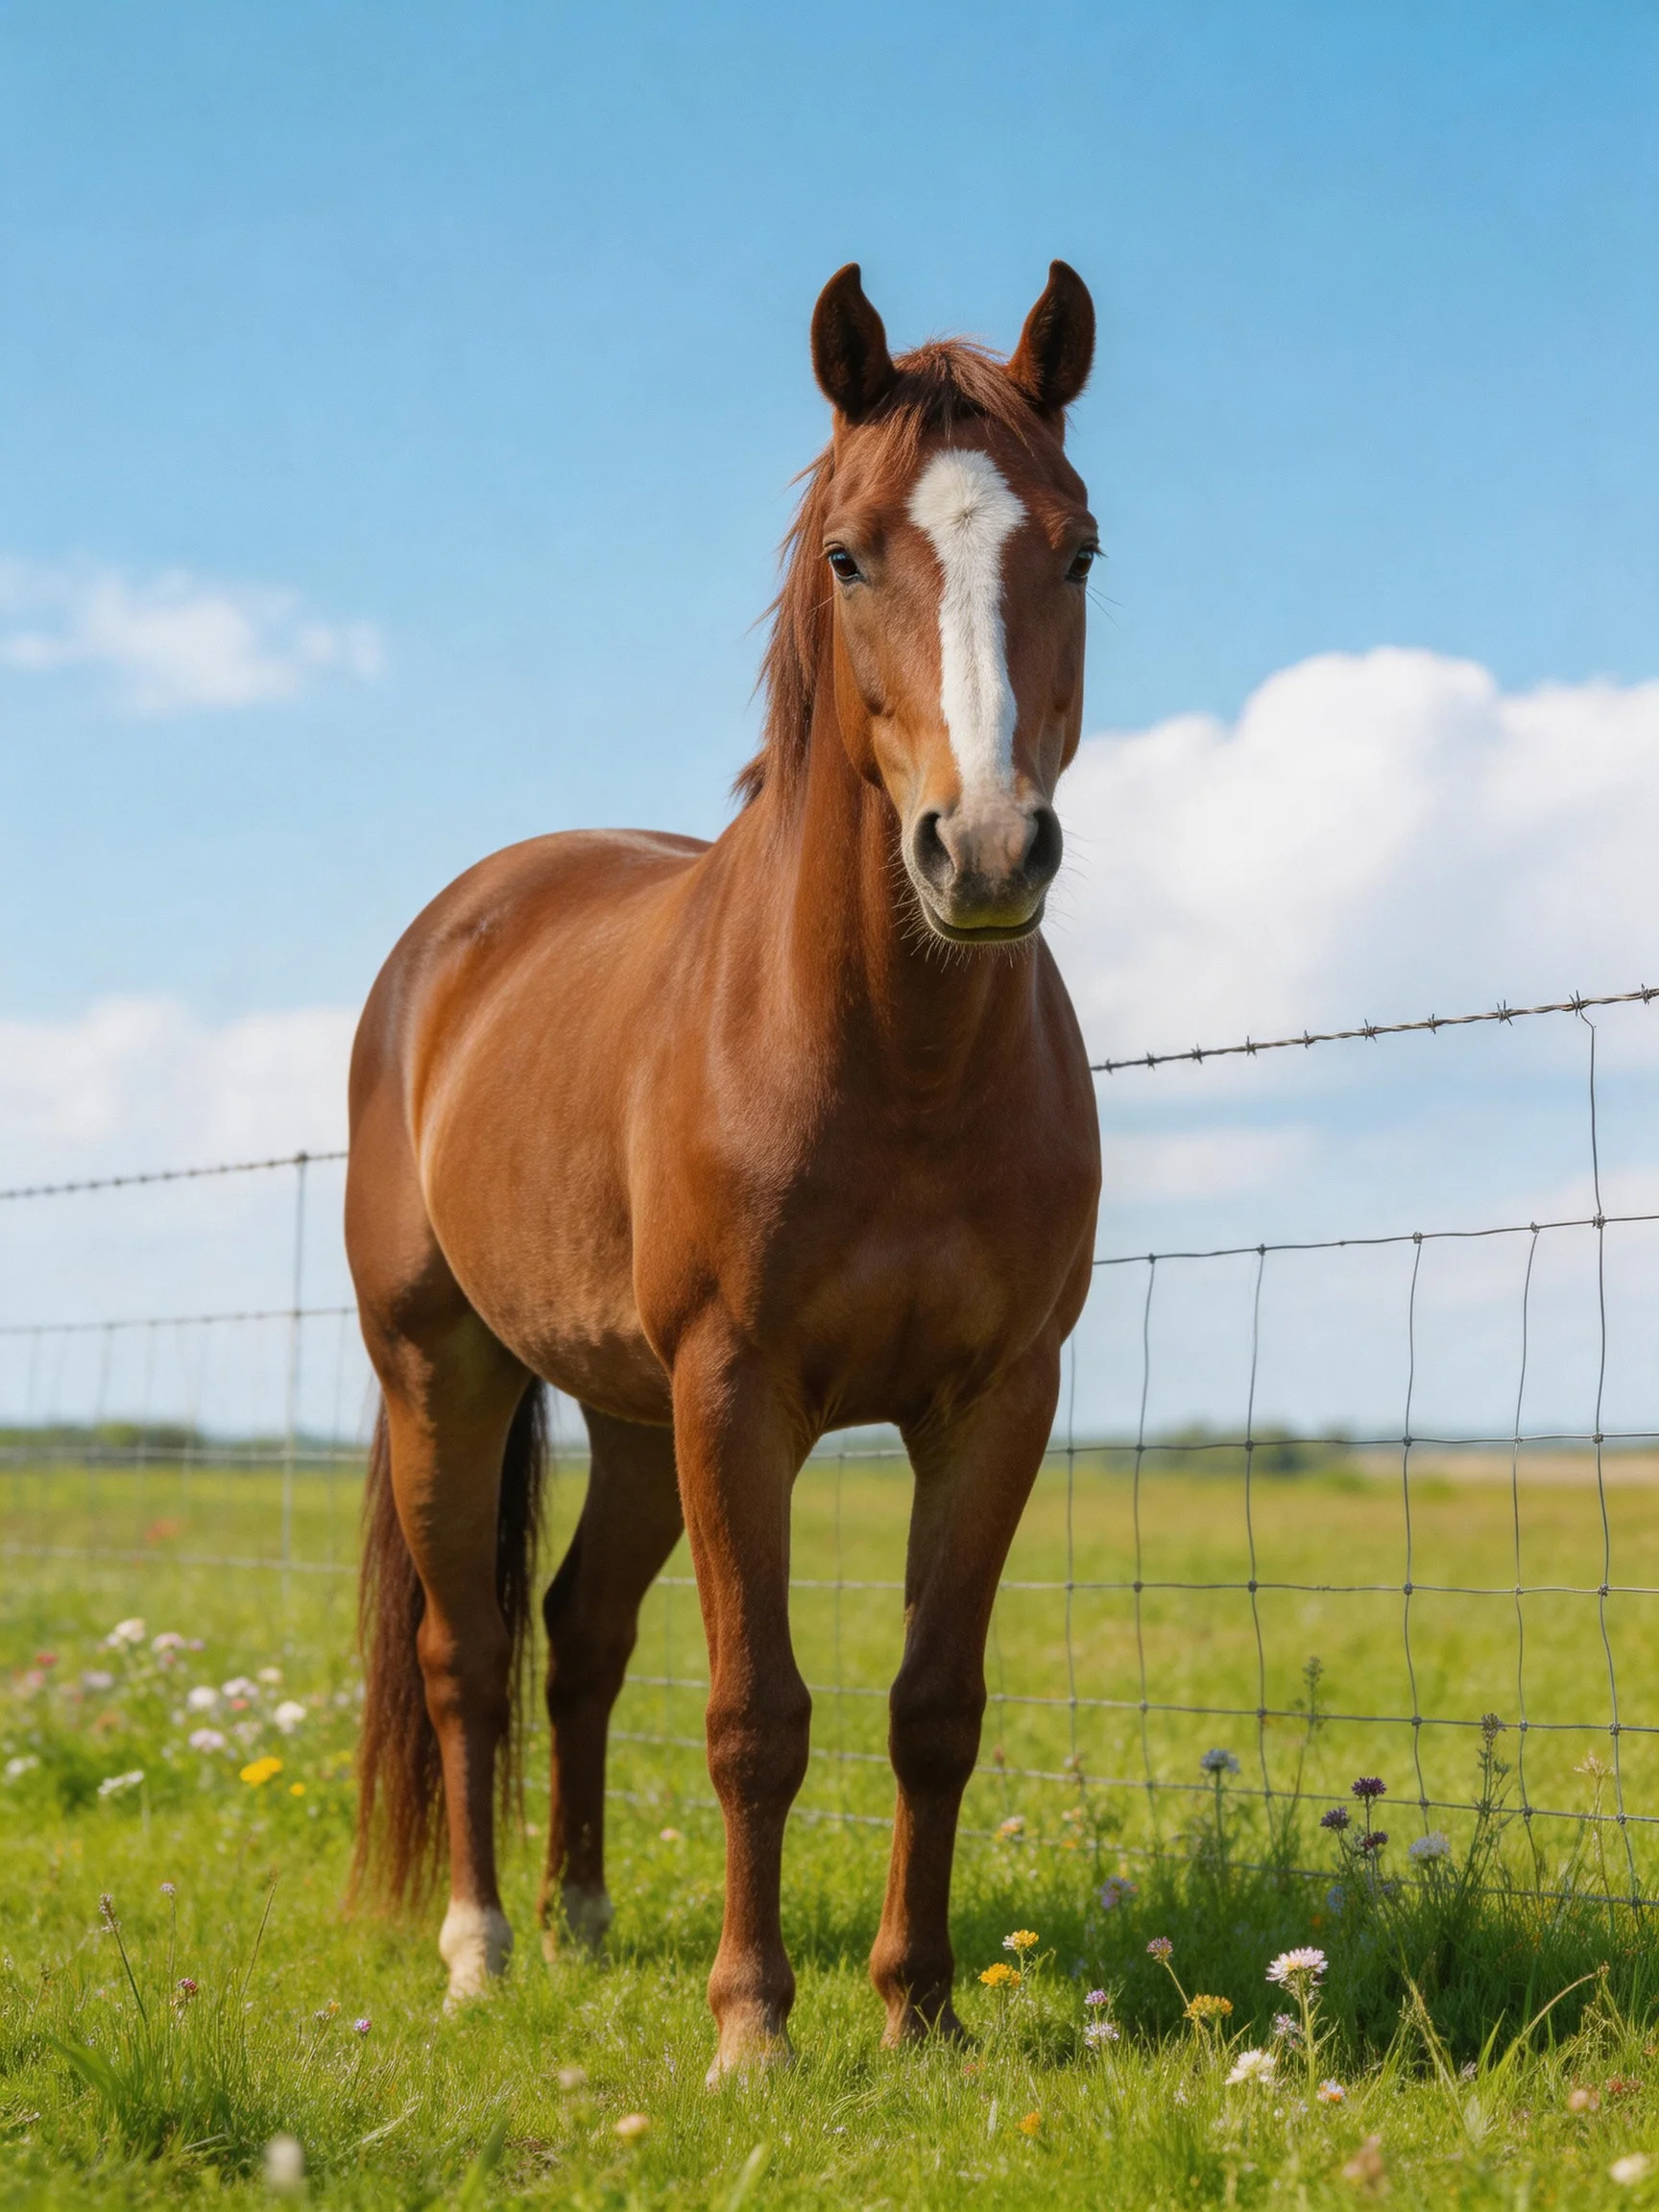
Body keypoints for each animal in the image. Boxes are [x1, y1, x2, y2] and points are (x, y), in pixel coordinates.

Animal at [345, 259, 1103, 2078]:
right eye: (848, 554)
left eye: (1078, 548)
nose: (984, 851)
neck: (897, 1061)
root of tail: (454, 930)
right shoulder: (736, 1391)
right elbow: (757, 1713)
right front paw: (752, 2028)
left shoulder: (996, 1401)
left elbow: (932, 1708)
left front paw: (919, 2012)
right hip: (446, 1372)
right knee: (467, 1654)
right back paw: (480, 1947)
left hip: (629, 1416)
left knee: (578, 1634)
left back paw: (582, 1919)